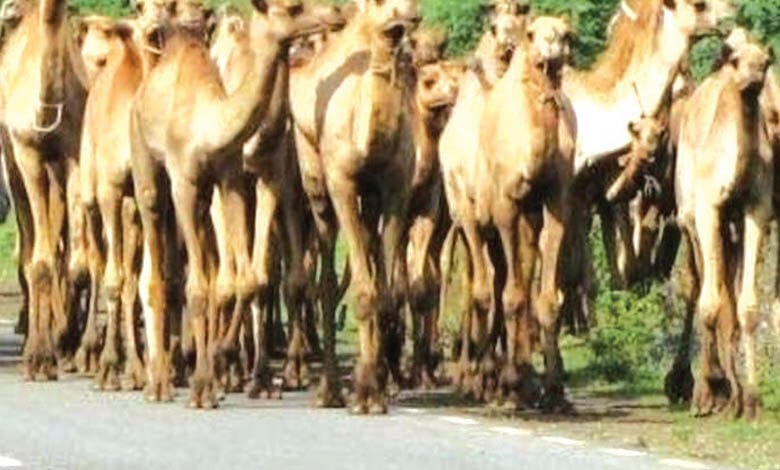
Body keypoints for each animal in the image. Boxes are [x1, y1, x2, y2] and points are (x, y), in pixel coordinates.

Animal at [131, 0, 325, 408]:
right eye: (293, 8)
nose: (334, 14)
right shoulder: (186, 184)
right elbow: (203, 287)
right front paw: (206, 384)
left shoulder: (235, 181)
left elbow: (248, 279)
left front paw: (222, 371)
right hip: (148, 169)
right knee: (156, 271)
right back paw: (159, 383)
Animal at [289, 0, 420, 413]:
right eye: (378, 6)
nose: (409, 16)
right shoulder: (342, 184)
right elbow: (363, 292)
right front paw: (364, 394)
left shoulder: (395, 189)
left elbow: (387, 295)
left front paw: (375, 387)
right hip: (316, 185)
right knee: (327, 281)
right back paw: (328, 390)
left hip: (370, 200)